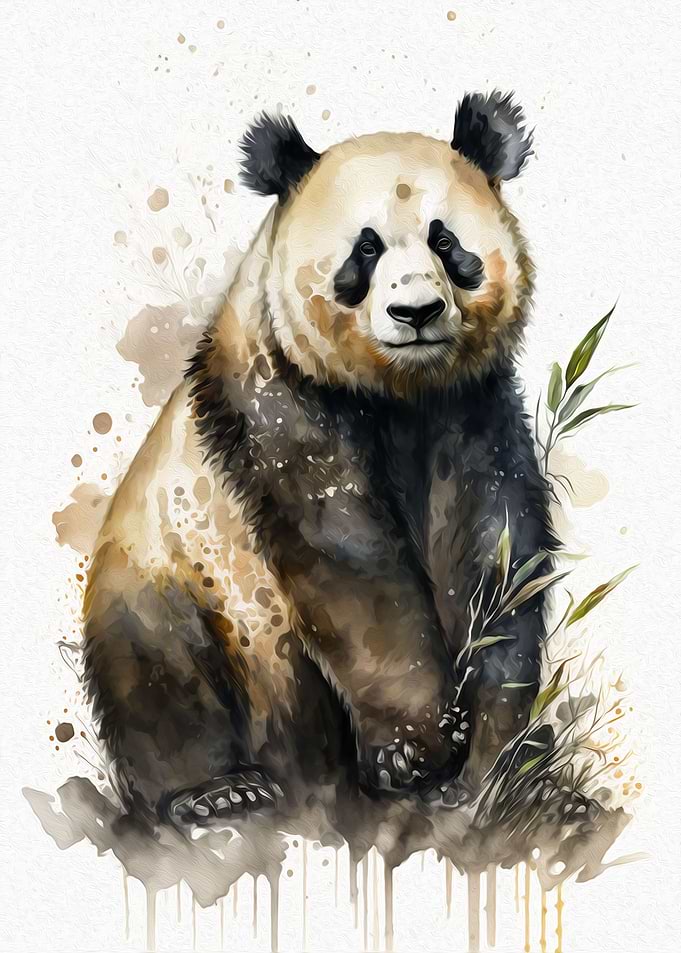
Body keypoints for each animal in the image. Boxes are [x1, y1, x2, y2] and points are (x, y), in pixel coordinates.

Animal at [83, 91, 555, 830]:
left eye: (445, 242)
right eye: (366, 248)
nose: (416, 311)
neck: (399, 393)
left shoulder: (470, 409)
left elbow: (494, 550)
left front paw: (501, 754)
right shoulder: (276, 398)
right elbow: (349, 560)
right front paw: (416, 745)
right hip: (165, 572)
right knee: (158, 676)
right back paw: (218, 789)